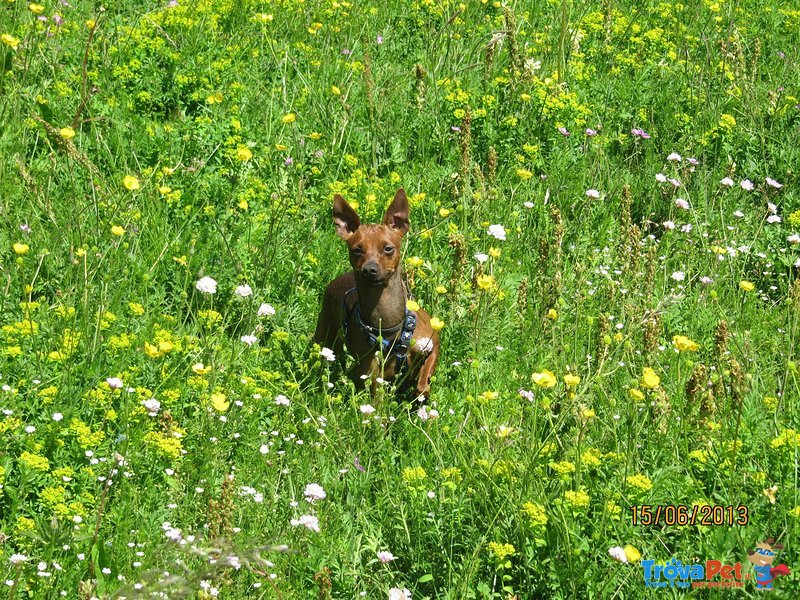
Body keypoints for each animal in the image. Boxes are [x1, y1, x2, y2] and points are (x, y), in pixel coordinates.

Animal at [314, 190, 440, 400]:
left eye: (388, 248)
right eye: (357, 250)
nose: (369, 269)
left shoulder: (432, 343)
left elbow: (424, 378)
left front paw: (421, 391)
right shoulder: (373, 374)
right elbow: (377, 400)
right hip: (325, 336)